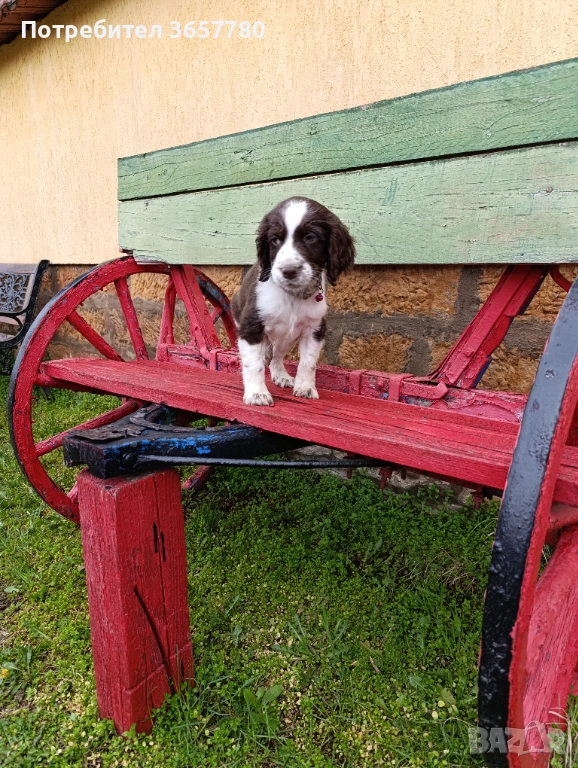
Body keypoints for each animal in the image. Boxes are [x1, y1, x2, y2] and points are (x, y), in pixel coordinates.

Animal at [231, 196, 355, 406]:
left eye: (310, 237)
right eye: (275, 240)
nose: (288, 271)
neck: (292, 296)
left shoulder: (314, 328)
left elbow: (308, 362)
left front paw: (305, 387)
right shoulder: (251, 326)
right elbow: (253, 363)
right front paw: (257, 393)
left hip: (286, 338)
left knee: (276, 356)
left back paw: (281, 375)